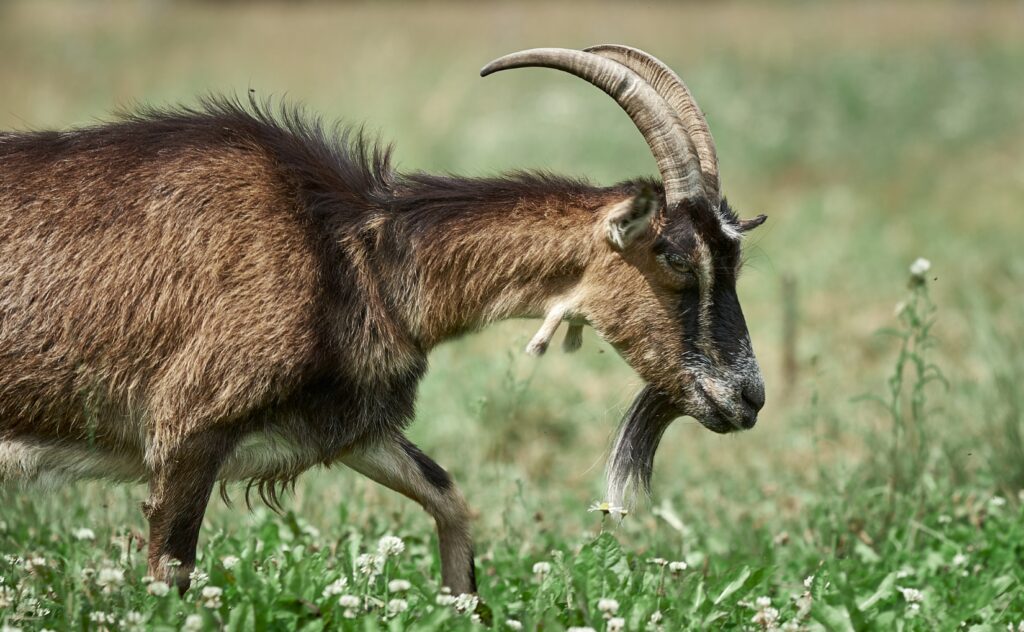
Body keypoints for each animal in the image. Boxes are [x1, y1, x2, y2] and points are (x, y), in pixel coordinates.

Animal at [0, 46, 765, 594]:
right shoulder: (187, 431)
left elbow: (451, 501)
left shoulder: (350, 427)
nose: (748, 398)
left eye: (735, 258)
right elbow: (170, 576)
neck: (347, 251)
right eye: (674, 257)